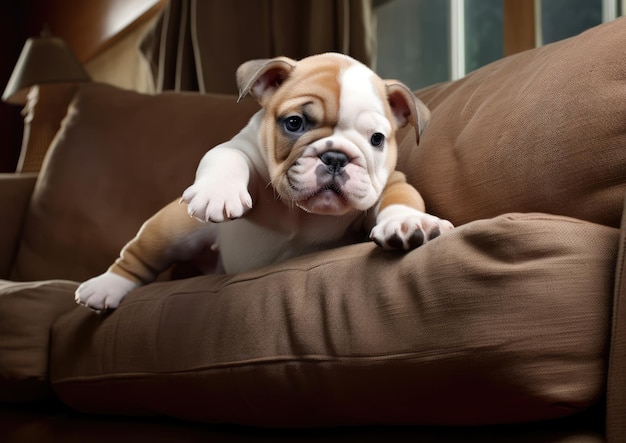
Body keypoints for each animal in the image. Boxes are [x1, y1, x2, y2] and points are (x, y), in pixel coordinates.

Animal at [75, 53, 450, 312]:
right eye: (294, 123)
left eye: (376, 139)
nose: (335, 157)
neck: (302, 213)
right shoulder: (241, 149)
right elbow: (228, 157)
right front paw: (218, 193)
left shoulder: (388, 182)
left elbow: (400, 197)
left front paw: (407, 223)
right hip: (174, 228)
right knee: (138, 255)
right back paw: (104, 288)